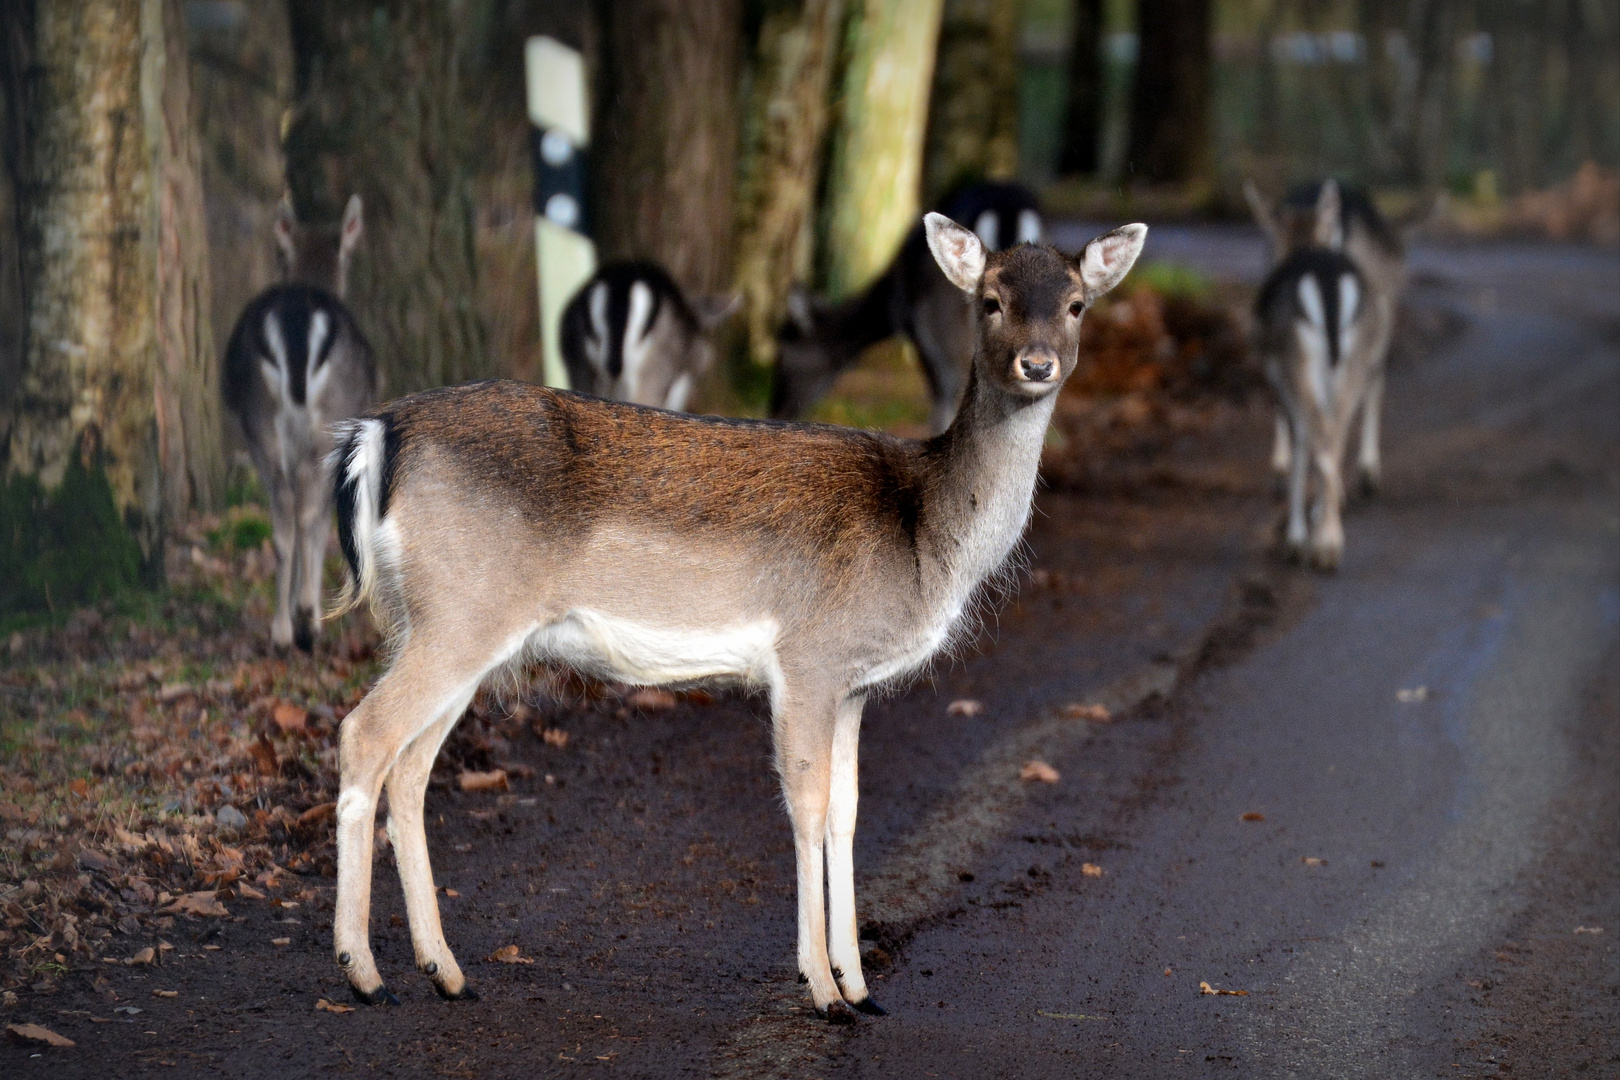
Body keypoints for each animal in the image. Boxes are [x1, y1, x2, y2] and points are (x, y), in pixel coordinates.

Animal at [223, 194, 374, 650]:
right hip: (330, 418)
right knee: (308, 510)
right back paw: (307, 618)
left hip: (260, 418)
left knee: (284, 512)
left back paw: (282, 629)